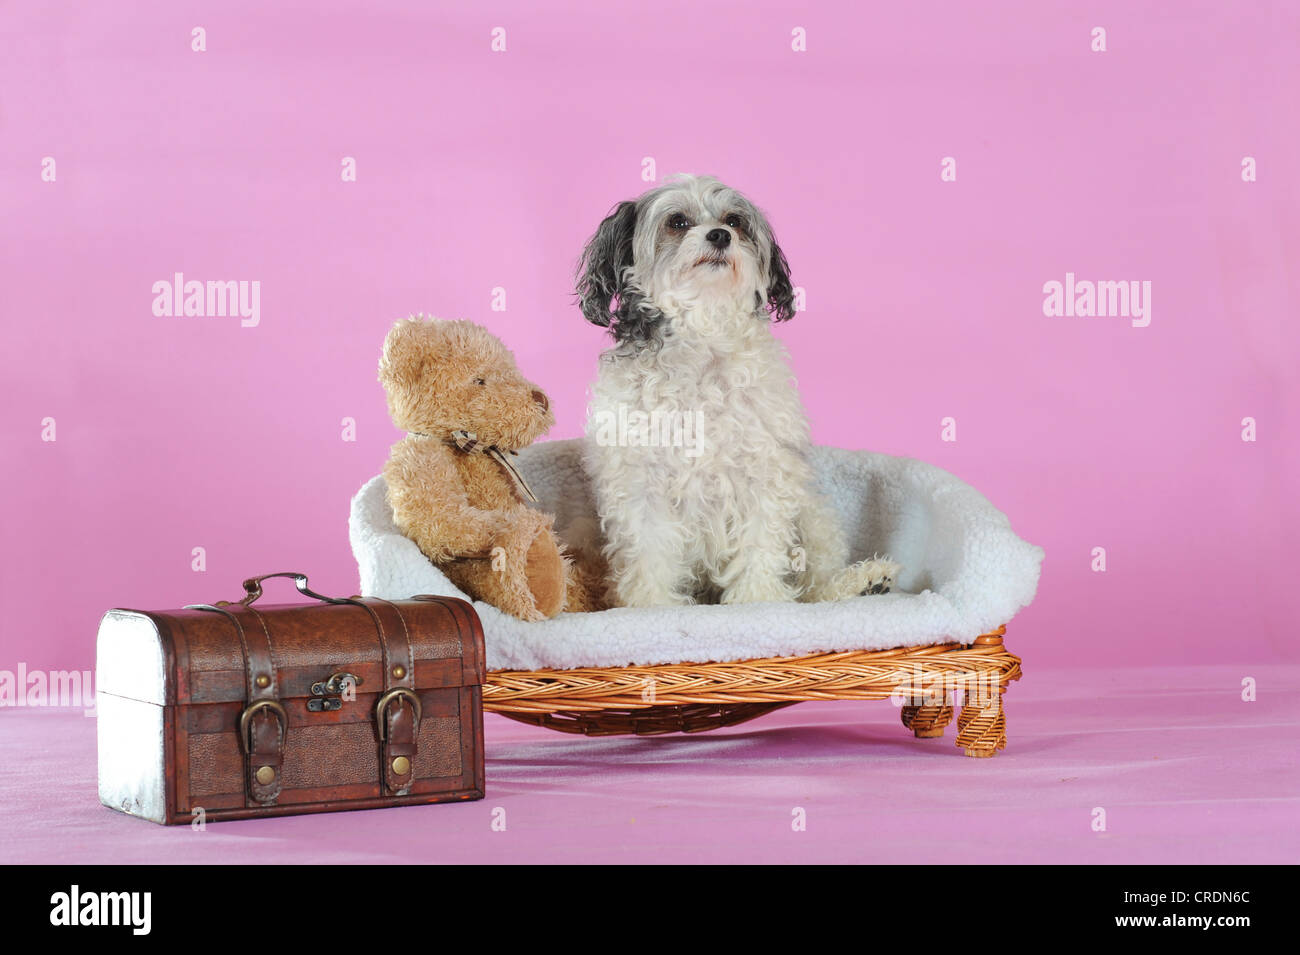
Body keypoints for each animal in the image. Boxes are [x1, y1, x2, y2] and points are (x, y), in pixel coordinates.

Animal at [574, 175, 899, 608]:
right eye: (677, 222)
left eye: (734, 221)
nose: (719, 235)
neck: (703, 337)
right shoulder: (640, 486)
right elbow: (649, 557)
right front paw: (652, 608)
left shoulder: (763, 473)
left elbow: (759, 545)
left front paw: (757, 600)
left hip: (813, 518)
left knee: (816, 586)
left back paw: (863, 583)